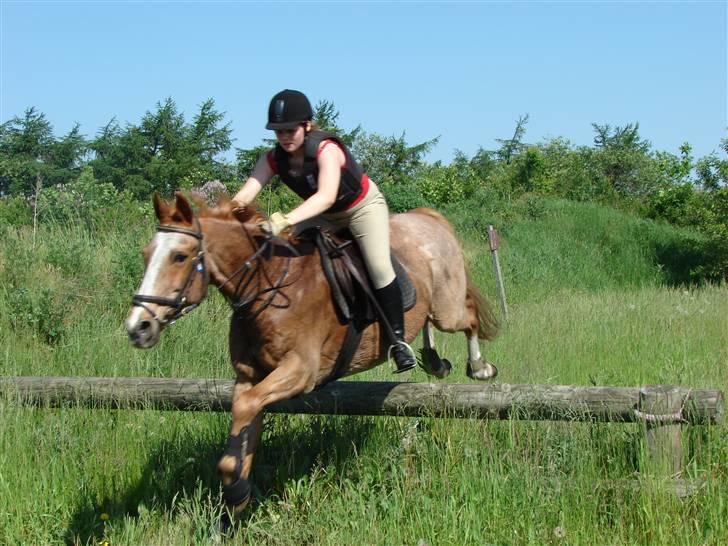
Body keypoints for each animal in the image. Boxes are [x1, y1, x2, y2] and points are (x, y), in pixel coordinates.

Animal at [126, 191, 500, 528]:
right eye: (146, 254)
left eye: (179, 256)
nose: (138, 328)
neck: (266, 287)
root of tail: (427, 217)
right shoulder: (249, 378)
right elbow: (244, 421)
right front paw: (235, 501)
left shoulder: (300, 371)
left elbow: (247, 411)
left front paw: (235, 495)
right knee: (428, 323)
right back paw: (430, 358)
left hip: (446, 307)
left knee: (467, 317)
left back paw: (479, 367)